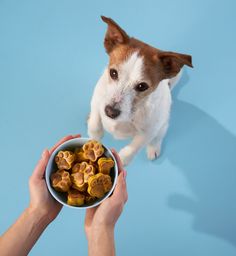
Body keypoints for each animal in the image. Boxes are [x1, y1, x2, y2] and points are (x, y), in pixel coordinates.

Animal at [87, 16, 193, 165]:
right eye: (113, 73)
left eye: (142, 86)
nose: (110, 112)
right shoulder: (98, 99)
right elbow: (95, 122)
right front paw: (94, 138)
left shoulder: (149, 131)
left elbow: (133, 148)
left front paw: (122, 160)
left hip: (163, 125)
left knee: (157, 138)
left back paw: (154, 147)